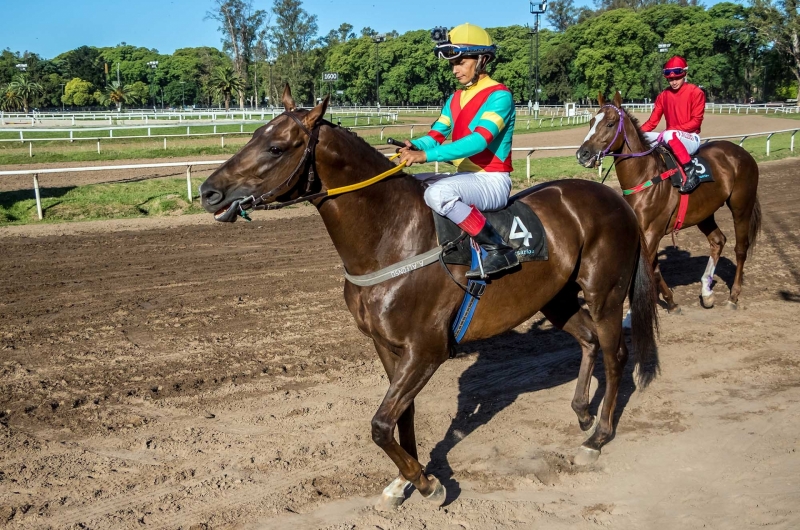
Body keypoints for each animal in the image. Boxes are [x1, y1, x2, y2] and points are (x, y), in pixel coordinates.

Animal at [198, 85, 656, 508]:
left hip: (605, 293)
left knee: (615, 354)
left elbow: (380, 424)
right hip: (556, 297)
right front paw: (403, 481)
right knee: (589, 341)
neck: (392, 237)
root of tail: (614, 198)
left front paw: (427, 483)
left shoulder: (427, 349)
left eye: (276, 147)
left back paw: (598, 436)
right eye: (253, 134)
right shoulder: (387, 346)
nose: (207, 192)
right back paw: (582, 412)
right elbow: (402, 415)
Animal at [580, 92, 760, 310]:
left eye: (610, 123)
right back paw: (706, 292)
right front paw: (671, 301)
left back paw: (733, 296)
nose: (582, 154)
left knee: (741, 248)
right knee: (718, 241)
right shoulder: (644, 234)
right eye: (591, 122)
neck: (645, 176)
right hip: (704, 212)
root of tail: (741, 153)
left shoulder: (653, 232)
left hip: (742, 206)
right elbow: (654, 269)